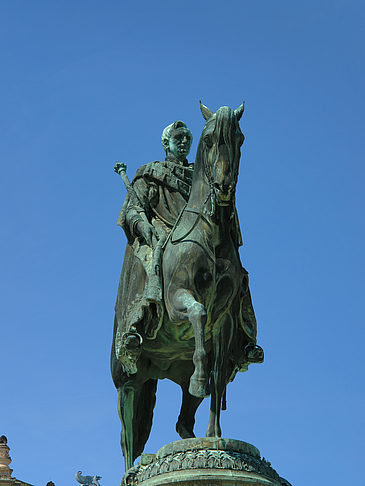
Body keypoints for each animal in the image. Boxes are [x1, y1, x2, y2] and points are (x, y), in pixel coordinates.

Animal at [109, 101, 260, 474]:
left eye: (239, 139)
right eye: (207, 140)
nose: (224, 186)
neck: (210, 234)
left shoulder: (226, 324)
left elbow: (217, 376)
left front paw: (215, 437)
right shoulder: (178, 301)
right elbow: (198, 312)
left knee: (182, 421)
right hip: (128, 381)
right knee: (128, 435)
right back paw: (131, 469)